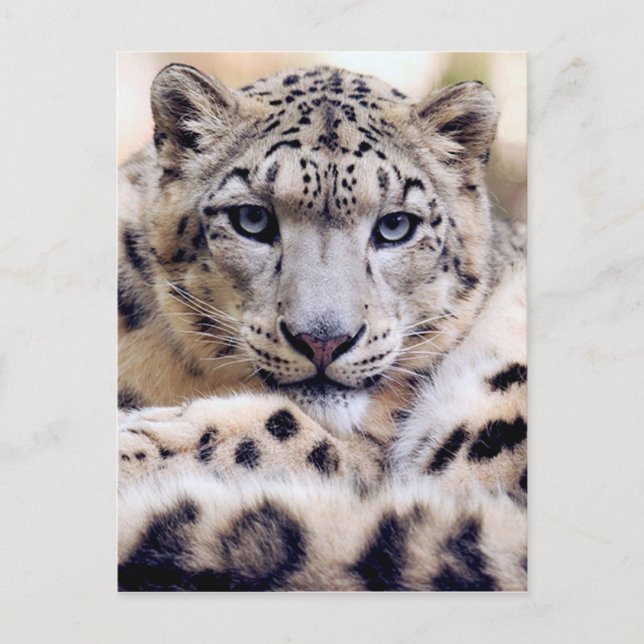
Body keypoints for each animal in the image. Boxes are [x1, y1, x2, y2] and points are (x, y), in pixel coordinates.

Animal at [117, 63, 527, 591]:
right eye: (252, 218)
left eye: (396, 226)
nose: (324, 340)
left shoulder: (369, 458)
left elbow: (283, 432)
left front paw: (132, 440)